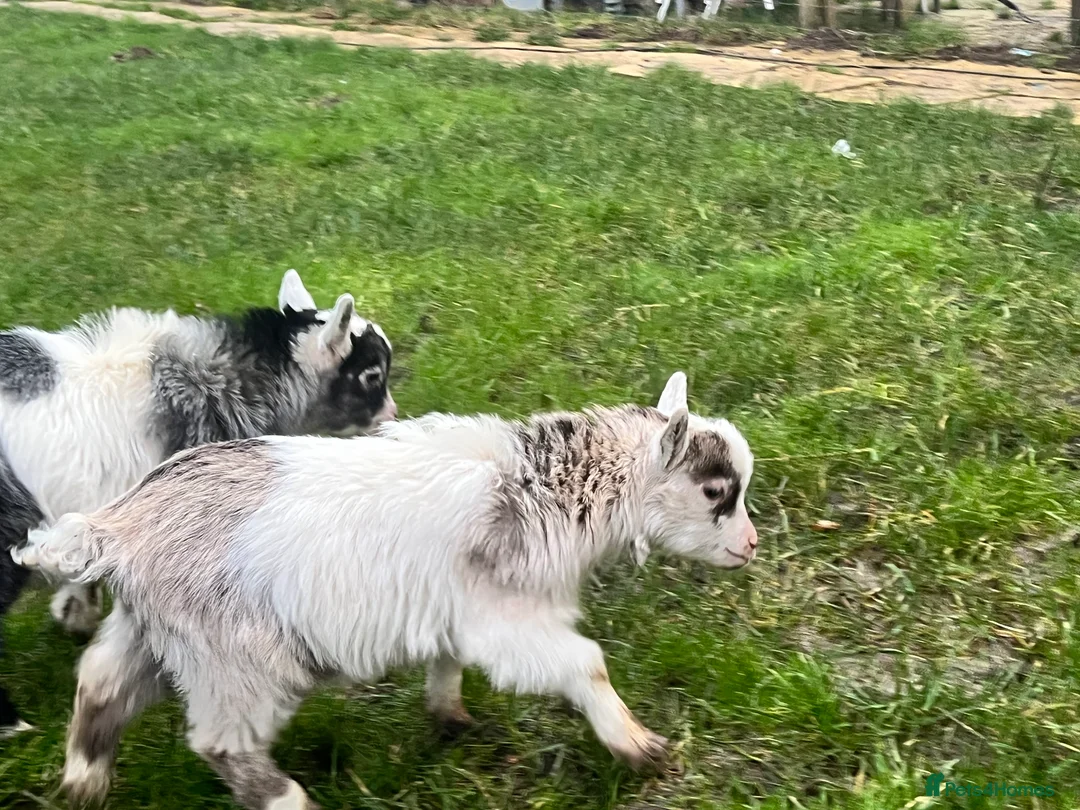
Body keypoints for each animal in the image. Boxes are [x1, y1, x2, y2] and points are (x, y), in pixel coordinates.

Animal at [15, 372, 757, 809]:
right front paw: (641, 749)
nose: (749, 546)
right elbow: (586, 665)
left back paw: (83, 783)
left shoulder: (459, 609)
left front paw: (449, 717)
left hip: (156, 631)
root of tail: (119, 525)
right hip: (236, 660)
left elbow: (449, 660)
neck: (544, 487)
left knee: (101, 684)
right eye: (716, 493)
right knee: (223, 742)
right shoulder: (509, 621)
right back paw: (291, 801)